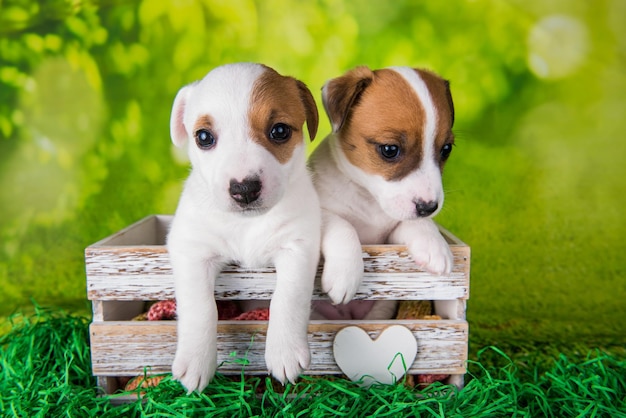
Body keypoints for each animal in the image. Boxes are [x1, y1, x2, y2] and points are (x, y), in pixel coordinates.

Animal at [168, 62, 320, 392]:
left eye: (279, 131)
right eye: (203, 137)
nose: (244, 189)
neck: (245, 224)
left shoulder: (298, 246)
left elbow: (288, 296)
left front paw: (284, 350)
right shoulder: (192, 250)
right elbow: (201, 306)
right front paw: (196, 360)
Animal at [310, 66, 454, 320]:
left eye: (446, 149)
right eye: (389, 150)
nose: (428, 207)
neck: (368, 199)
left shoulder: (388, 240)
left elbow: (416, 224)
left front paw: (434, 244)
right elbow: (342, 225)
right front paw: (345, 274)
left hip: (381, 310)